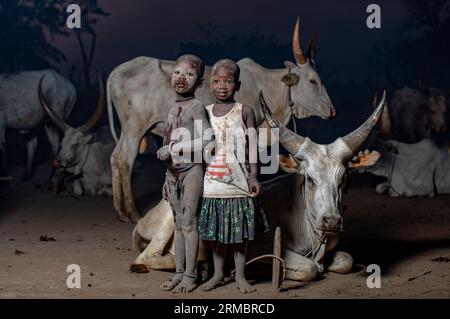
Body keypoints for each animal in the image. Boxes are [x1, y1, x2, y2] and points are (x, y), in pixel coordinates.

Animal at [107, 16, 336, 222]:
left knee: (115, 159)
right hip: (134, 129)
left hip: (129, 129)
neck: (267, 86)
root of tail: (115, 73)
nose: (332, 111)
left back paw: (120, 212)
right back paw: (131, 212)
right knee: (125, 160)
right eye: (313, 81)